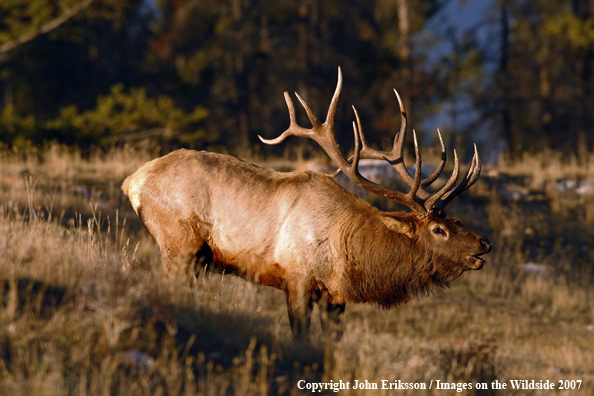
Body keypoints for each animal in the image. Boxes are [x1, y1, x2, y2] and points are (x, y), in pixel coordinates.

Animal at [121, 68, 490, 340]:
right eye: (438, 229)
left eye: (456, 221)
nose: (484, 243)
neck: (348, 253)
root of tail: (133, 182)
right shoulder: (297, 277)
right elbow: (301, 337)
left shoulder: (335, 298)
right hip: (178, 243)